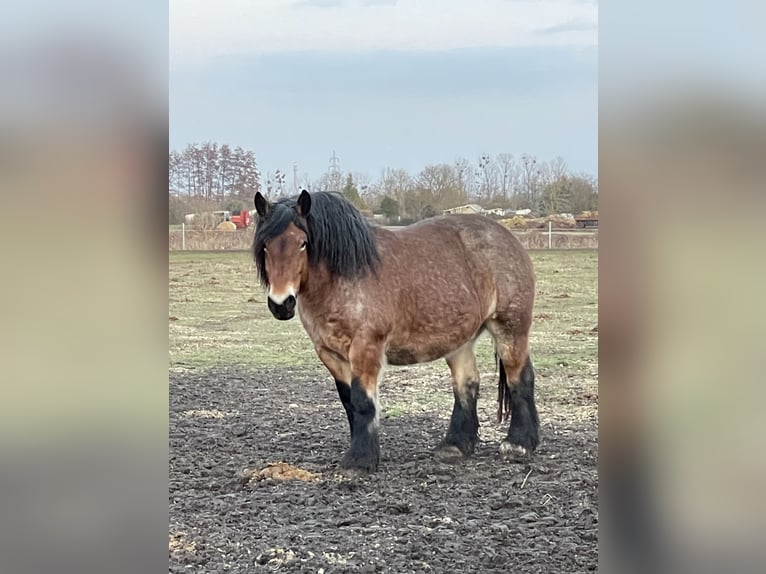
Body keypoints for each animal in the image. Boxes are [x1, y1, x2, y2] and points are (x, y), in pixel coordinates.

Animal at [252, 191, 540, 474]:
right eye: (265, 245)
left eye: (302, 243)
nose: (281, 304)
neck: (344, 277)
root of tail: (507, 237)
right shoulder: (329, 353)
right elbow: (348, 402)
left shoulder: (365, 348)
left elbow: (363, 401)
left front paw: (360, 461)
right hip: (460, 341)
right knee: (466, 384)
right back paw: (455, 446)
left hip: (510, 328)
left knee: (519, 378)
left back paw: (518, 445)